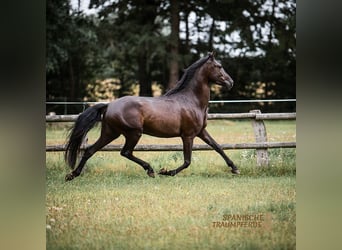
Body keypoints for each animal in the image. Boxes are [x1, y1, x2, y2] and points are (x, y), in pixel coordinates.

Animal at [65, 53, 240, 182]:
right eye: (219, 66)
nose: (231, 82)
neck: (192, 101)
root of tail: (109, 105)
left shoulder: (201, 132)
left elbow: (218, 147)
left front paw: (235, 168)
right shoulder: (188, 135)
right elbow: (187, 161)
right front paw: (166, 171)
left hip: (111, 133)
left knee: (90, 150)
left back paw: (72, 175)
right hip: (133, 133)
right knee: (125, 152)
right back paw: (150, 170)